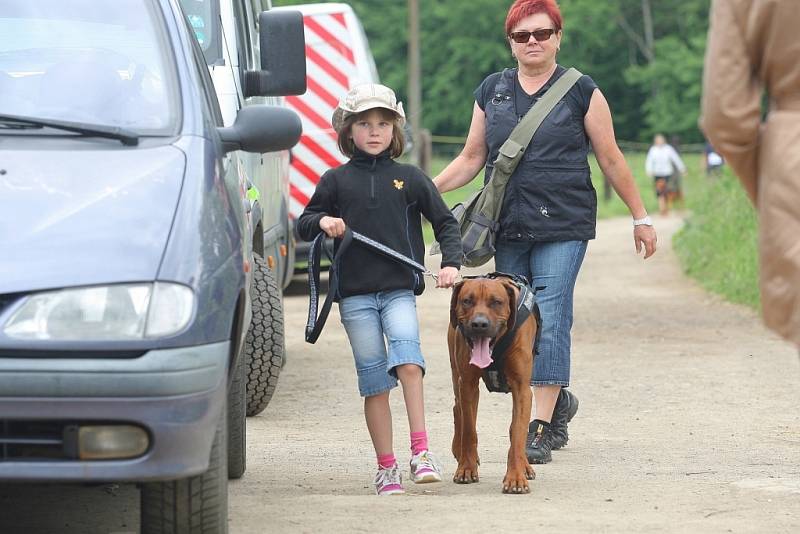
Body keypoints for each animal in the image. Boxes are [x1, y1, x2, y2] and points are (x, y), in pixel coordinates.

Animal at [446, 278, 536, 496]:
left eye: (496, 302)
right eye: (467, 301)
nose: (479, 324)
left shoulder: (522, 389)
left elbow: (518, 432)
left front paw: (516, 477)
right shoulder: (468, 383)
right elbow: (469, 430)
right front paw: (466, 468)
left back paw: (525, 466)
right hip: (457, 376)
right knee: (458, 409)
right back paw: (459, 452)